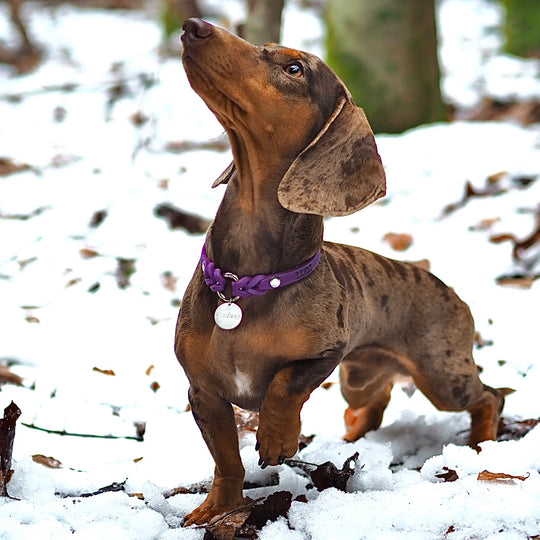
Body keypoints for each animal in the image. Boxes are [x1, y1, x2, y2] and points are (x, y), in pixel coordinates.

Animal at [175, 19, 504, 524]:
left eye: (294, 68)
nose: (194, 26)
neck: (245, 286)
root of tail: (453, 292)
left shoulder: (327, 353)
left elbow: (285, 385)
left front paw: (278, 438)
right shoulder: (204, 392)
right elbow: (227, 459)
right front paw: (218, 508)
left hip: (444, 378)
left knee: (491, 396)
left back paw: (483, 445)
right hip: (358, 382)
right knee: (376, 404)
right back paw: (350, 441)